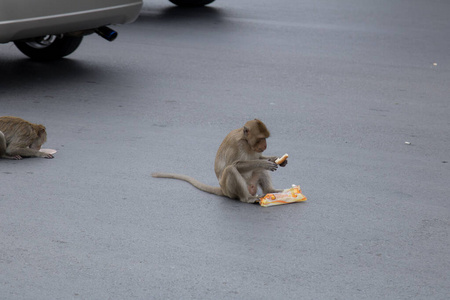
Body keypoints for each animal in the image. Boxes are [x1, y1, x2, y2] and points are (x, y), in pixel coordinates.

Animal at [152, 119, 288, 204]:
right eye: (261, 138)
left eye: (265, 138)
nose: (265, 145)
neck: (246, 142)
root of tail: (223, 190)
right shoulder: (236, 144)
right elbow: (234, 164)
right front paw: (265, 163)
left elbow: (259, 158)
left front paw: (276, 159)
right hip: (230, 190)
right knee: (231, 170)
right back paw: (247, 198)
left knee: (257, 171)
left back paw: (270, 191)